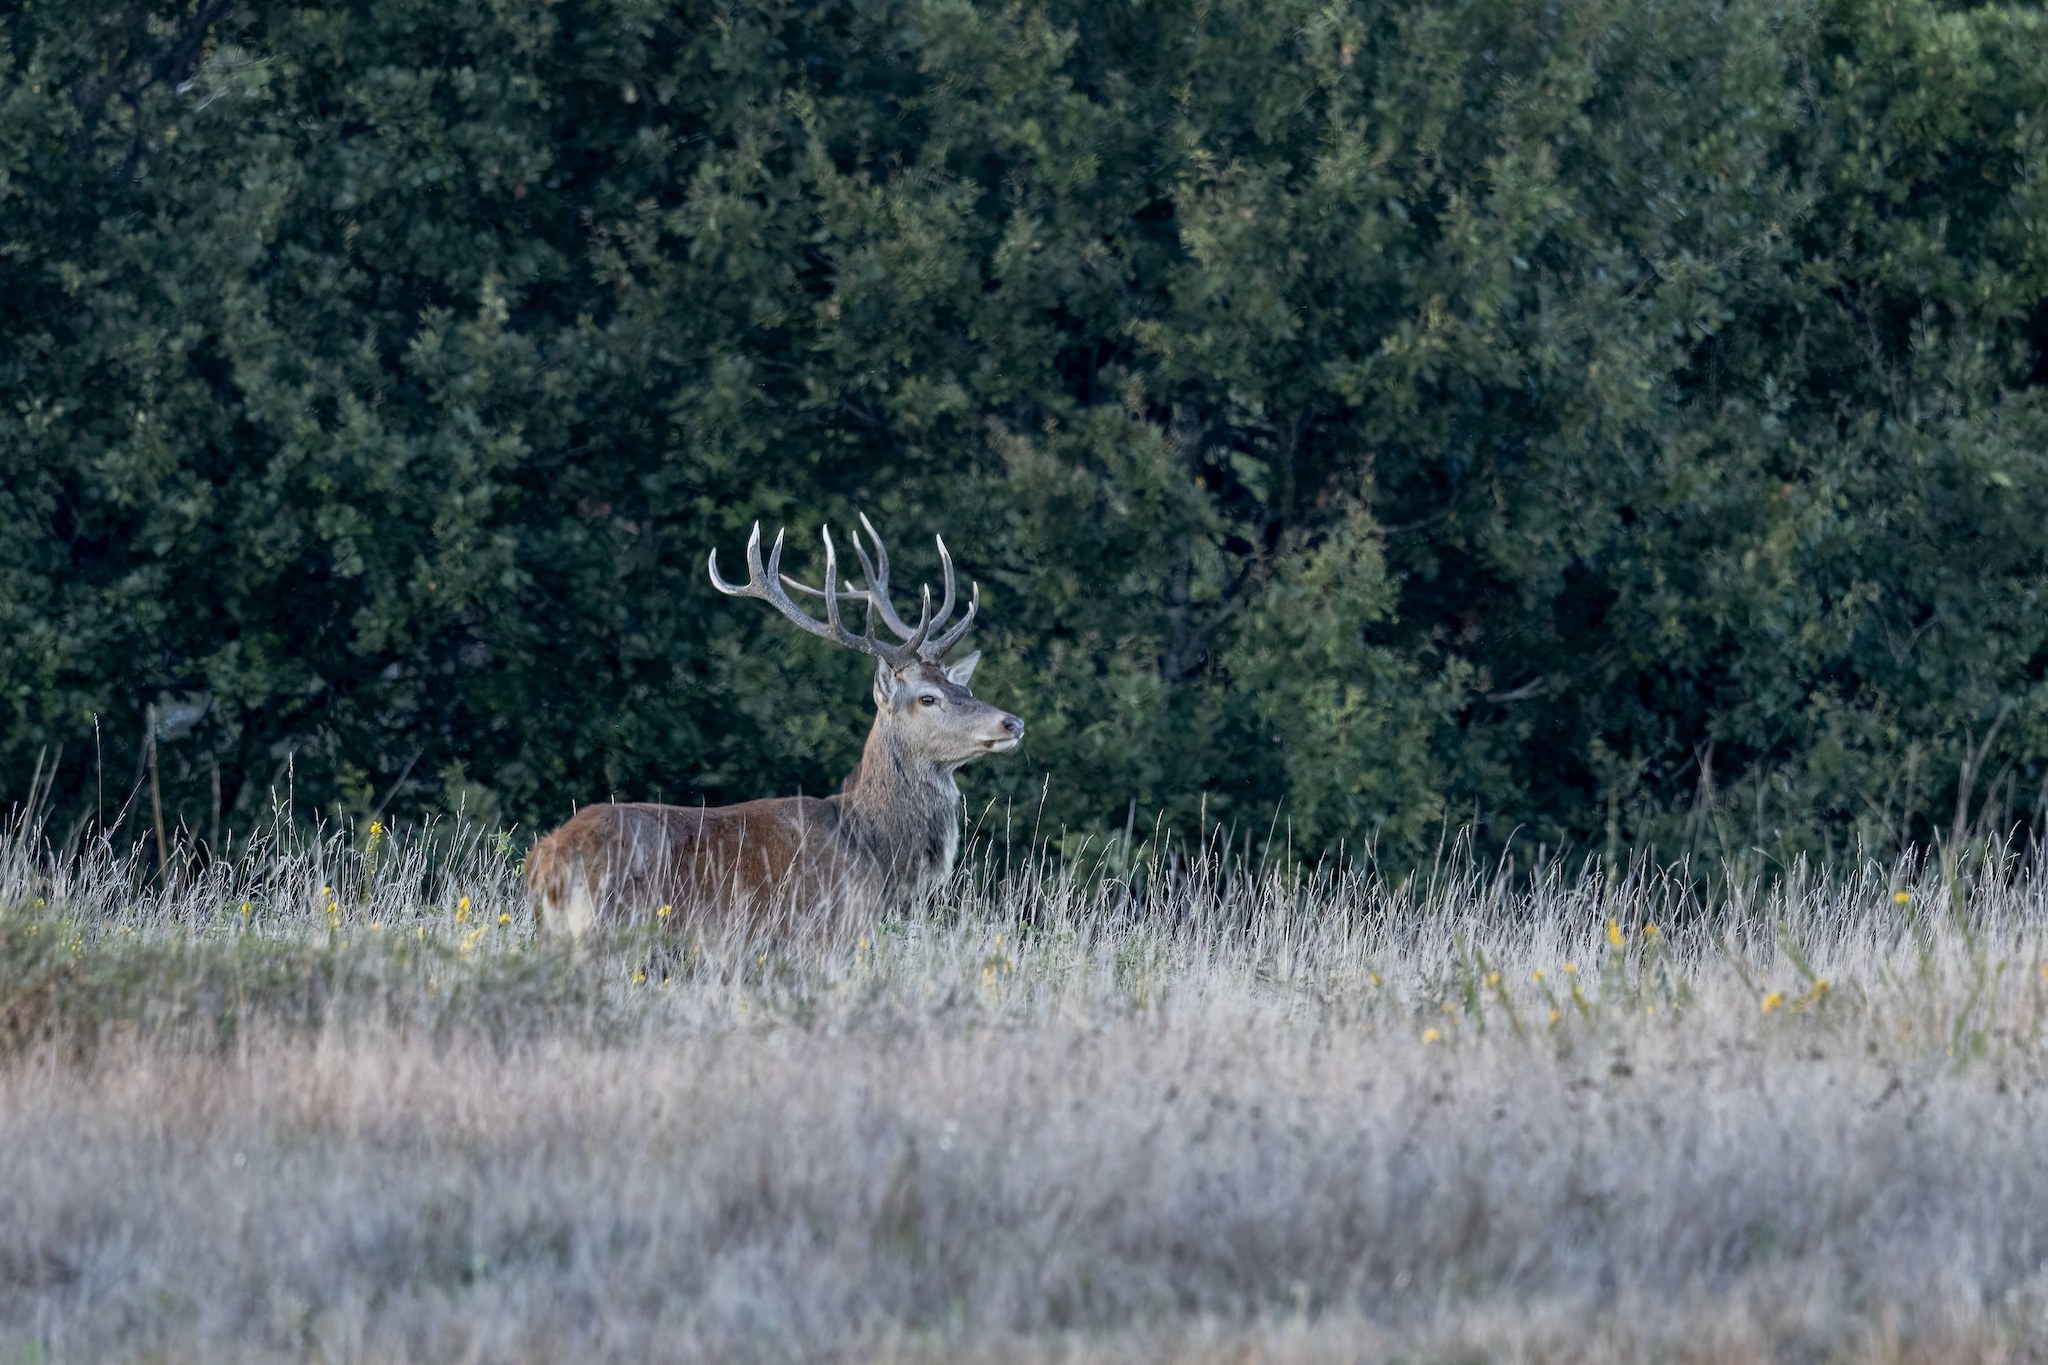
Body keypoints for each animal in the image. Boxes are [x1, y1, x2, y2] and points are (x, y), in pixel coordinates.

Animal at [524, 514, 1025, 942]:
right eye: (927, 698)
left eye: (963, 686)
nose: (1013, 721)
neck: (872, 852)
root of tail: (548, 859)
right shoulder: (824, 931)